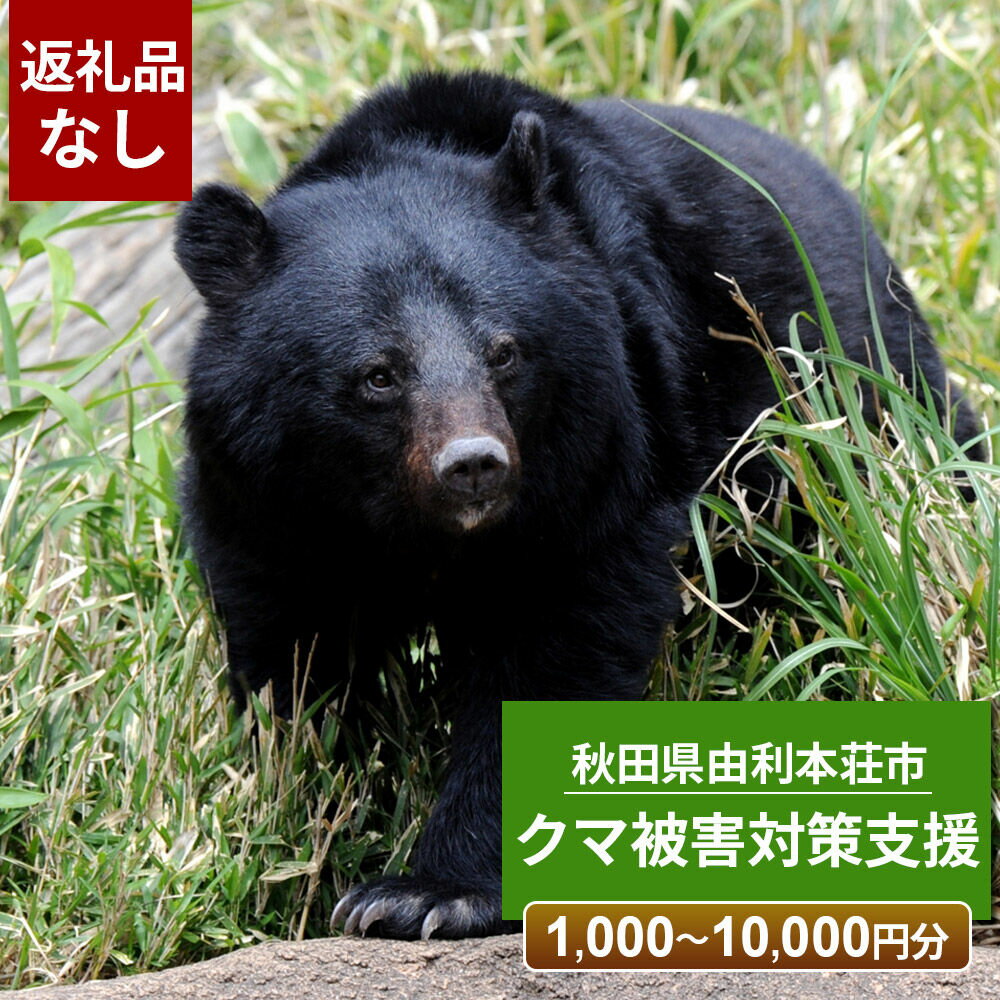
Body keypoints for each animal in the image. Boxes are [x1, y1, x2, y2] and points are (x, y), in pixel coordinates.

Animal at [174, 71, 980, 940]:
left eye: (504, 352)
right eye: (378, 375)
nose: (475, 466)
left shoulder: (605, 433)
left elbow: (556, 634)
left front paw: (423, 896)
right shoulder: (263, 489)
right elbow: (294, 648)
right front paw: (302, 810)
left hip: (846, 400)